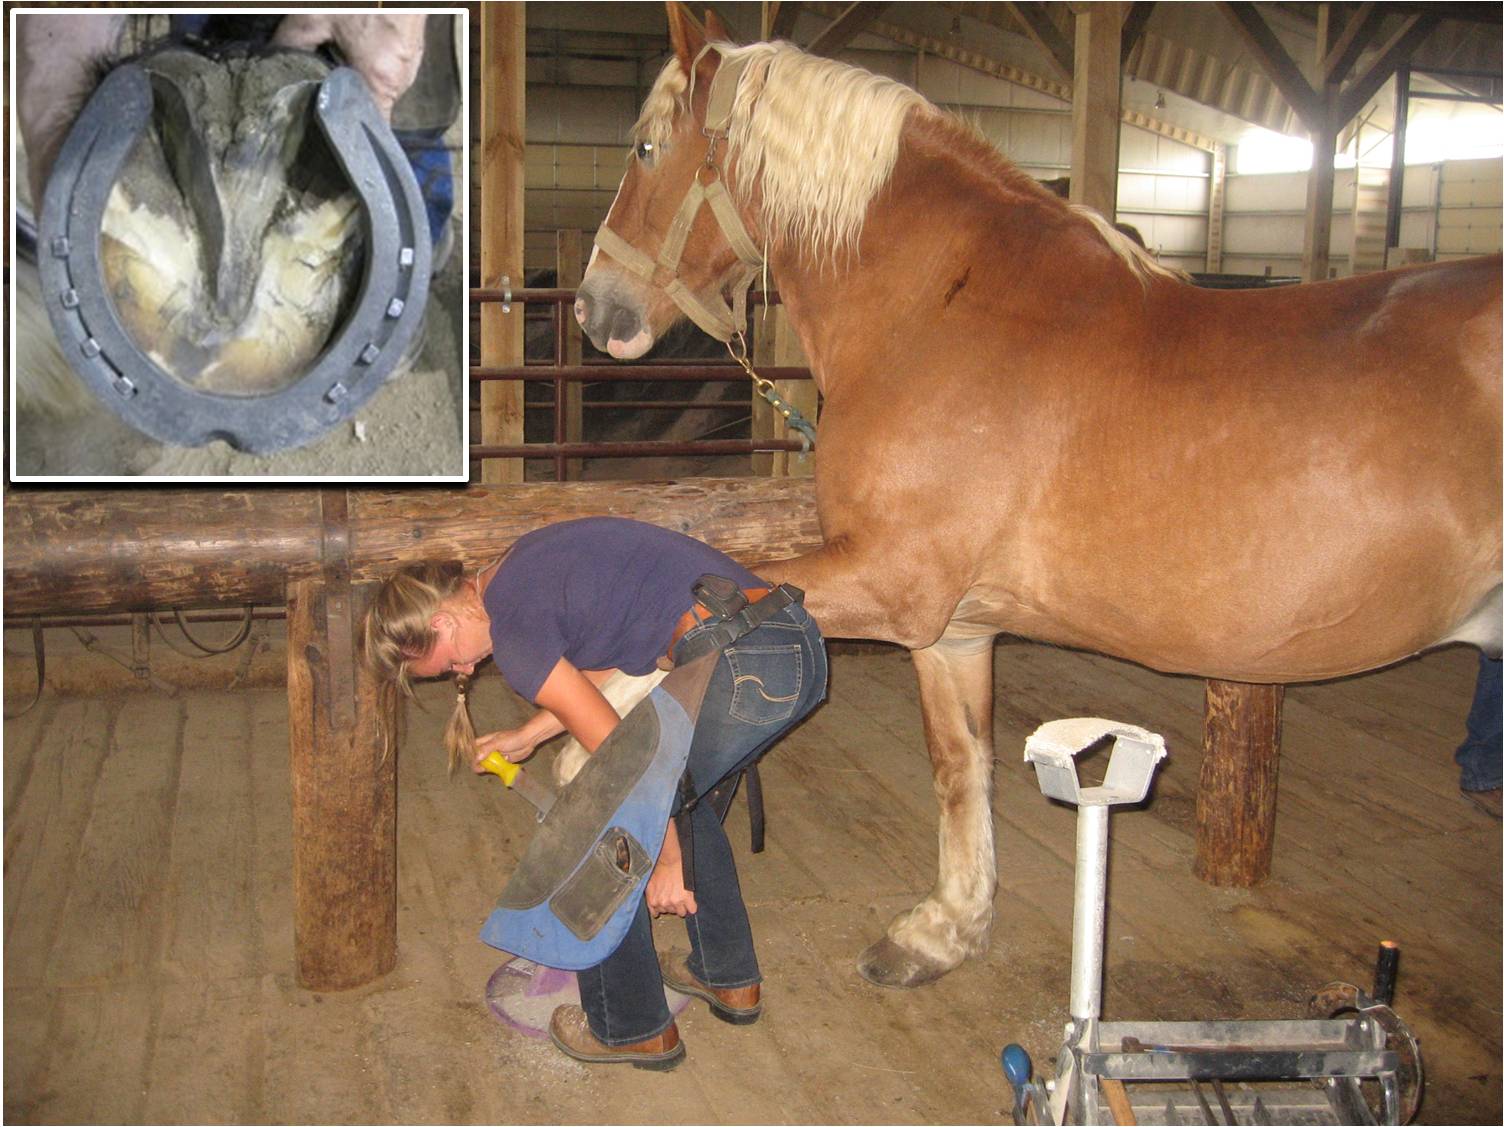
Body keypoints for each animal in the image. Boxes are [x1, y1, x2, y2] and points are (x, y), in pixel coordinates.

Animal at [571, 13, 1491, 987]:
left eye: (644, 148)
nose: (594, 307)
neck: (943, 310)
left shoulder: (891, 581)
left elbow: (677, 632)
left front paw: (579, 749)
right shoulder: (952, 628)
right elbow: (960, 764)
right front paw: (946, 927)